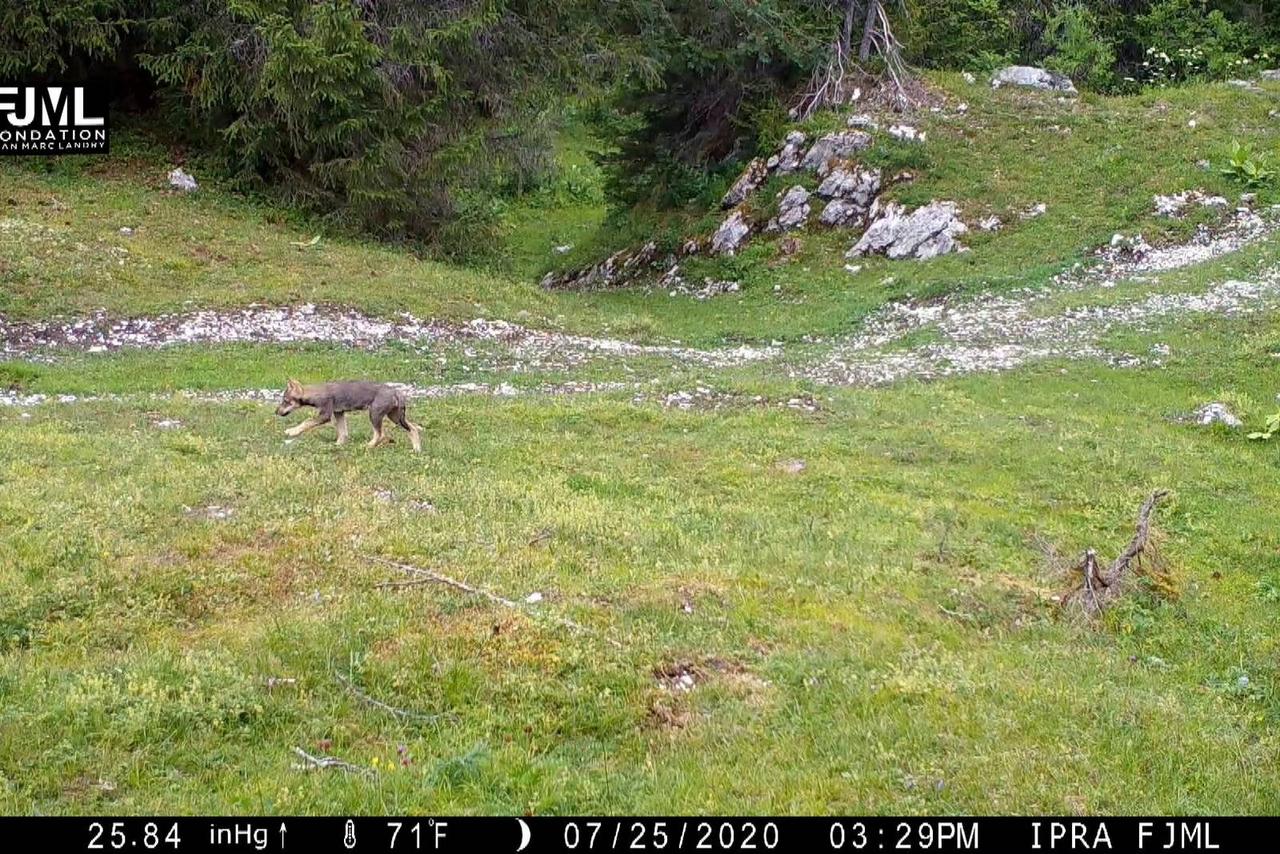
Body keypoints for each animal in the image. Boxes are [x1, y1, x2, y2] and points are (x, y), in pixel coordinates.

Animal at [277, 376, 422, 450]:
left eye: (285, 401)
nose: (276, 412)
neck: (316, 392)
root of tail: (396, 391)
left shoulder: (325, 415)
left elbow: (306, 422)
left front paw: (292, 431)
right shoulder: (339, 413)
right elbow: (343, 432)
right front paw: (338, 445)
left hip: (375, 414)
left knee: (380, 434)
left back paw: (368, 446)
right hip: (394, 417)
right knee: (413, 428)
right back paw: (417, 449)